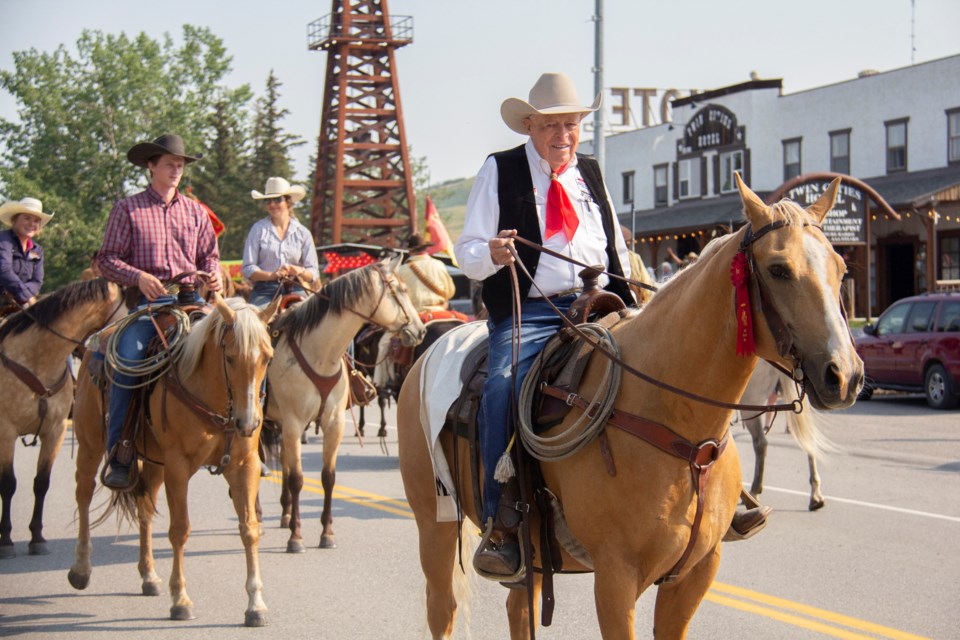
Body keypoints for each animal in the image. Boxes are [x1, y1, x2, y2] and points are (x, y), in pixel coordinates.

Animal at [0, 278, 124, 556]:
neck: (37, 360)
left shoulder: (54, 431)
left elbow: (41, 483)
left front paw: (37, 537)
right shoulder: (6, 432)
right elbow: (9, 484)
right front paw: (6, 539)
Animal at [66, 298, 278, 628]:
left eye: (267, 358)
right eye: (230, 358)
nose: (249, 422)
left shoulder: (245, 466)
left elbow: (249, 529)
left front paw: (255, 605)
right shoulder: (178, 467)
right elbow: (180, 529)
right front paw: (180, 600)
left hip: (153, 464)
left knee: (144, 509)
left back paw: (149, 576)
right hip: (90, 445)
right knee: (84, 496)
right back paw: (81, 569)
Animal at [264, 254, 426, 552]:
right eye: (401, 290)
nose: (420, 330)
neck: (319, 353)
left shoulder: (334, 423)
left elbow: (328, 477)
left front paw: (326, 533)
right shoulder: (294, 423)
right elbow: (297, 479)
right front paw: (296, 537)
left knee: (284, 460)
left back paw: (285, 514)